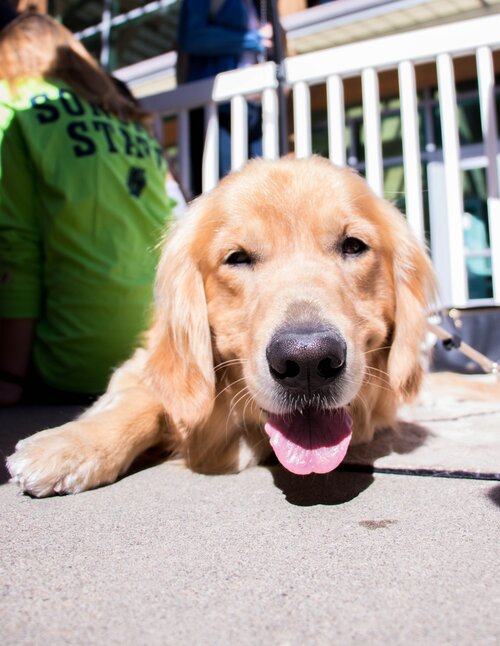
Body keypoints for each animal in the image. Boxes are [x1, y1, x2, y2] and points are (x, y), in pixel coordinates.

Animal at [6, 156, 434, 496]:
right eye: (237, 258)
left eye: (353, 246)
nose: (309, 362)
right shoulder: (148, 364)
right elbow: (142, 399)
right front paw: (71, 444)